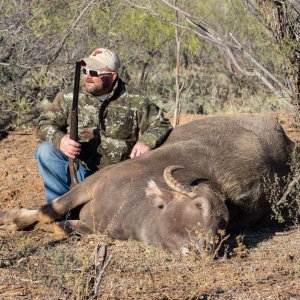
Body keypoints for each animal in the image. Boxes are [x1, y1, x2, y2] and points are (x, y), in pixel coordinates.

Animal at [0, 115, 296, 253]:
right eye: (199, 206)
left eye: (224, 224)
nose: (205, 248)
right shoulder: (91, 184)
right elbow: (48, 210)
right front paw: (10, 218)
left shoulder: (96, 227)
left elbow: (61, 225)